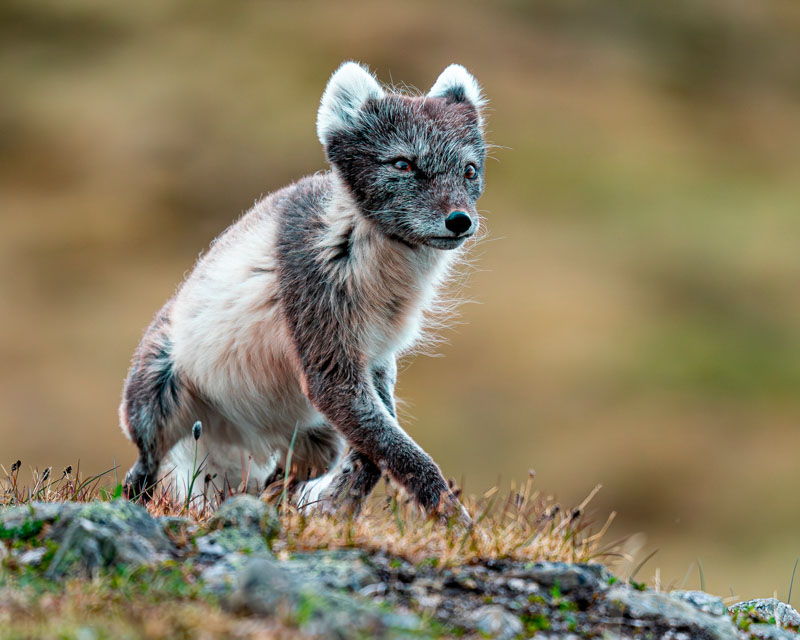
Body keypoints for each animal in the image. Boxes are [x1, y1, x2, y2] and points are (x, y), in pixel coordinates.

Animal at [120, 61, 487, 524]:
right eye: (403, 164)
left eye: (469, 170)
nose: (460, 221)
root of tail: (236, 432)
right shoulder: (328, 360)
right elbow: (406, 455)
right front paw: (459, 524)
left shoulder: (375, 357)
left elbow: (378, 451)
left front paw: (337, 509)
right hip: (155, 401)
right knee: (141, 472)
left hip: (318, 439)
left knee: (279, 481)